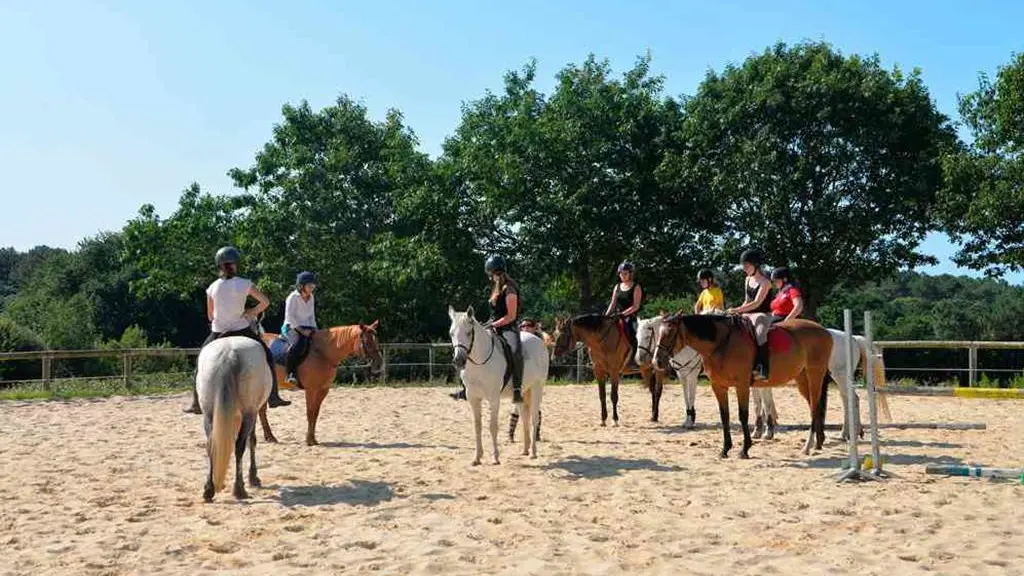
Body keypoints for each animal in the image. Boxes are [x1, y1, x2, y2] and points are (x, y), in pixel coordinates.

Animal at [196, 334, 274, 500]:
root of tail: (228, 354)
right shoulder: (253, 412)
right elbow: (252, 441)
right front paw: (253, 477)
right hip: (249, 413)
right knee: (240, 446)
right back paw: (239, 489)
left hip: (209, 414)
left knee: (211, 445)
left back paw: (209, 489)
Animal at [256, 319, 385, 446]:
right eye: (367, 342)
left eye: (377, 340)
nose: (379, 364)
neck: (323, 354)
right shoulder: (311, 389)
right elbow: (310, 412)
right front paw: (309, 440)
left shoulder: (323, 389)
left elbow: (315, 413)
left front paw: (313, 439)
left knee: (261, 410)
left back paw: (270, 437)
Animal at [446, 305, 548, 461]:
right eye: (451, 333)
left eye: (469, 333)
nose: (458, 360)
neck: (480, 361)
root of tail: (539, 341)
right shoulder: (472, 397)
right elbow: (477, 426)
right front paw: (477, 457)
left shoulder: (494, 398)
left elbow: (493, 426)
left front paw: (495, 457)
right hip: (521, 392)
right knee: (524, 417)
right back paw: (525, 450)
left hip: (537, 388)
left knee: (534, 418)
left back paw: (533, 453)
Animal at [655, 313, 831, 457]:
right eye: (657, 333)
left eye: (670, 333)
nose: (657, 361)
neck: (721, 343)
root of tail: (824, 330)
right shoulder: (718, 386)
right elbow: (725, 416)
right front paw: (725, 449)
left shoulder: (742, 385)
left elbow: (743, 415)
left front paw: (745, 449)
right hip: (802, 379)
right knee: (815, 407)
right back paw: (818, 442)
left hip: (814, 375)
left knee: (815, 407)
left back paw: (808, 446)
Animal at [749, 327, 892, 438]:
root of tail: (853, 339)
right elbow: (758, 404)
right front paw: (757, 431)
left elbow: (766, 403)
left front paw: (768, 432)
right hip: (841, 378)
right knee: (846, 400)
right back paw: (848, 433)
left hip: (840, 376)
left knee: (852, 399)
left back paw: (852, 433)